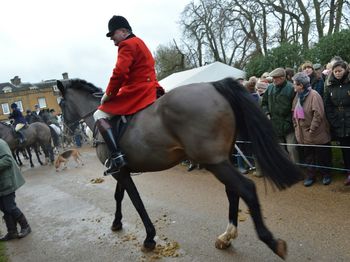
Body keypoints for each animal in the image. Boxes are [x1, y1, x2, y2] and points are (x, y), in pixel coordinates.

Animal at [57, 78, 300, 260]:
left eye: (61, 105)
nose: (66, 131)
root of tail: (213, 85)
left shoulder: (119, 172)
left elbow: (136, 201)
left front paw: (149, 237)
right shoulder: (121, 171)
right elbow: (120, 196)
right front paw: (117, 223)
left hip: (214, 161)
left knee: (247, 188)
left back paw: (271, 241)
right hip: (222, 160)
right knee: (233, 191)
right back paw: (227, 236)